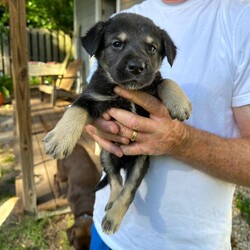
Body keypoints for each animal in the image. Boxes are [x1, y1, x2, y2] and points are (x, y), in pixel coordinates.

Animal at [43, 13, 191, 234]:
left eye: (152, 48)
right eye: (116, 44)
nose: (137, 67)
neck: (125, 91)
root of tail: (123, 162)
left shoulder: (152, 85)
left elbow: (163, 80)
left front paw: (180, 102)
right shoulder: (94, 100)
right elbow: (76, 108)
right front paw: (61, 138)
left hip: (140, 162)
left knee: (128, 189)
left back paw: (113, 217)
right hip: (106, 155)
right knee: (115, 180)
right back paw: (112, 203)